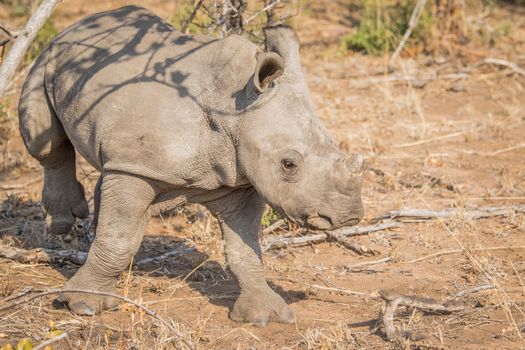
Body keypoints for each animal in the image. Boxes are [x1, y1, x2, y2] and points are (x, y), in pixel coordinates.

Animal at [18, 4, 362, 326]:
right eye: (288, 164)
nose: (349, 216)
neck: (234, 110)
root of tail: (82, 22)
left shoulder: (240, 177)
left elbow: (245, 248)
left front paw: (265, 315)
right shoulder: (136, 169)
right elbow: (117, 238)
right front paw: (83, 305)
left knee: (108, 174)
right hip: (48, 56)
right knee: (45, 142)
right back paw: (62, 226)